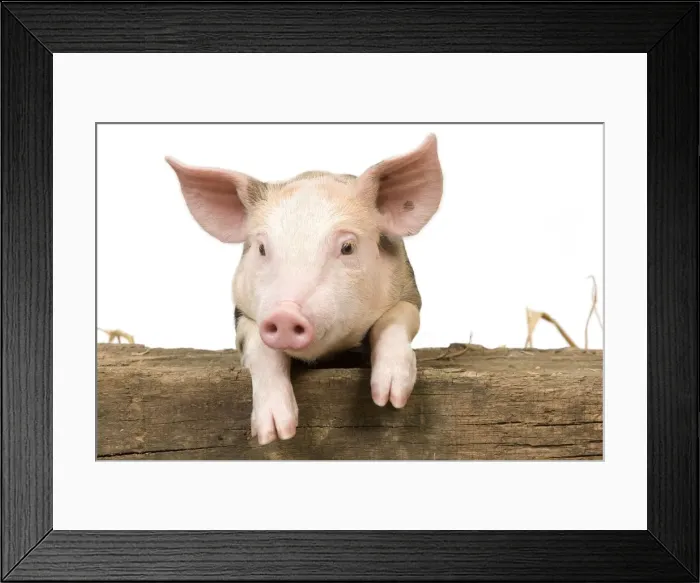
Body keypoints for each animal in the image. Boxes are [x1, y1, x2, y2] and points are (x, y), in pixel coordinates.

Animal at [165, 133, 443, 445]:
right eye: (262, 248)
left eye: (348, 247)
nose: (285, 314)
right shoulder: (241, 314)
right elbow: (259, 346)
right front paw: (275, 434)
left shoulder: (409, 290)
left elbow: (396, 317)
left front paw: (390, 399)